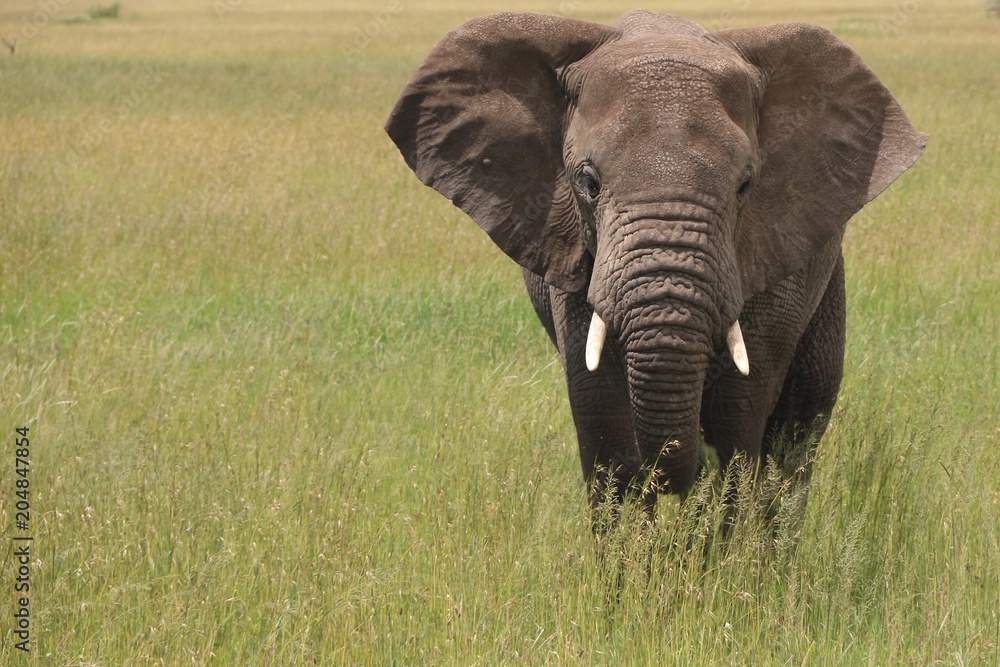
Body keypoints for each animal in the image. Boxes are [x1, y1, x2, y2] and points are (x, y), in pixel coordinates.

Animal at [385, 10, 926, 518]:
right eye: (588, 183)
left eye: (745, 185)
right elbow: (602, 417)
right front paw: (633, 555)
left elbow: (739, 414)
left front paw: (720, 550)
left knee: (798, 432)